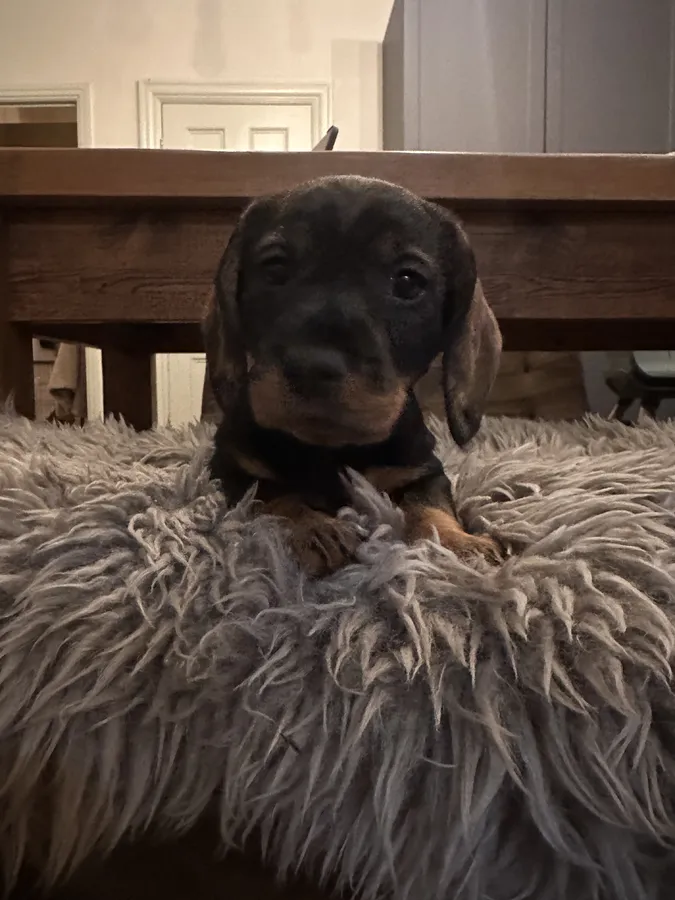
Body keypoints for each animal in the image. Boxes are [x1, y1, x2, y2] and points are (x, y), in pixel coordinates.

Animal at [204, 175, 503, 576]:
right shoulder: (233, 467)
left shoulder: (423, 470)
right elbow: (277, 495)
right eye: (275, 269)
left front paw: (456, 544)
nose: (313, 366)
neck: (329, 450)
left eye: (408, 281)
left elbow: (431, 506)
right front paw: (315, 529)